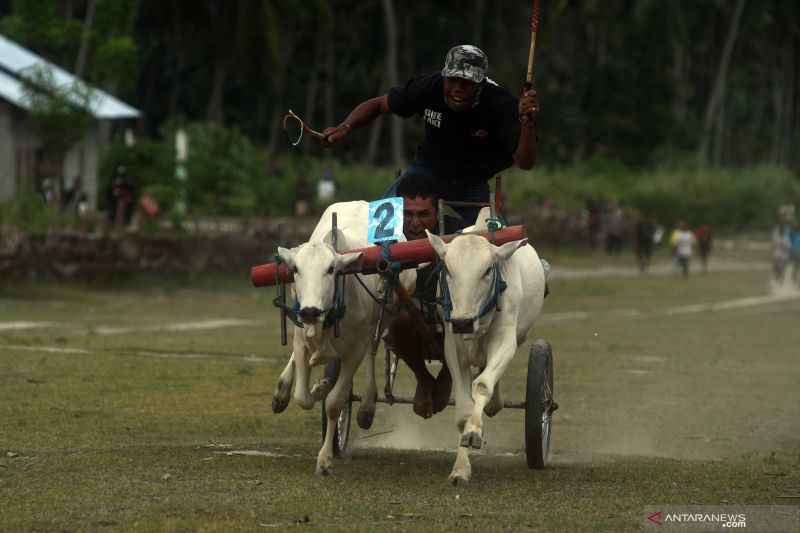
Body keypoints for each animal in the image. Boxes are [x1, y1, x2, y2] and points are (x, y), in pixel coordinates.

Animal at [272, 201, 416, 474]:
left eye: (331, 269)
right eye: (295, 269)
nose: (310, 311)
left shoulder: (355, 349)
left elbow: (334, 403)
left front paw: (325, 460)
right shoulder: (300, 337)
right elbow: (303, 397)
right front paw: (316, 387)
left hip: (385, 316)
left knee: (373, 348)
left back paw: (367, 405)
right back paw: (282, 392)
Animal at [428, 227, 548, 484]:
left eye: (486, 271)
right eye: (448, 270)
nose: (463, 322)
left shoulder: (506, 339)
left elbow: (482, 385)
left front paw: (474, 430)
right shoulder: (452, 346)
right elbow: (463, 411)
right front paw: (461, 468)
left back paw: (495, 403)